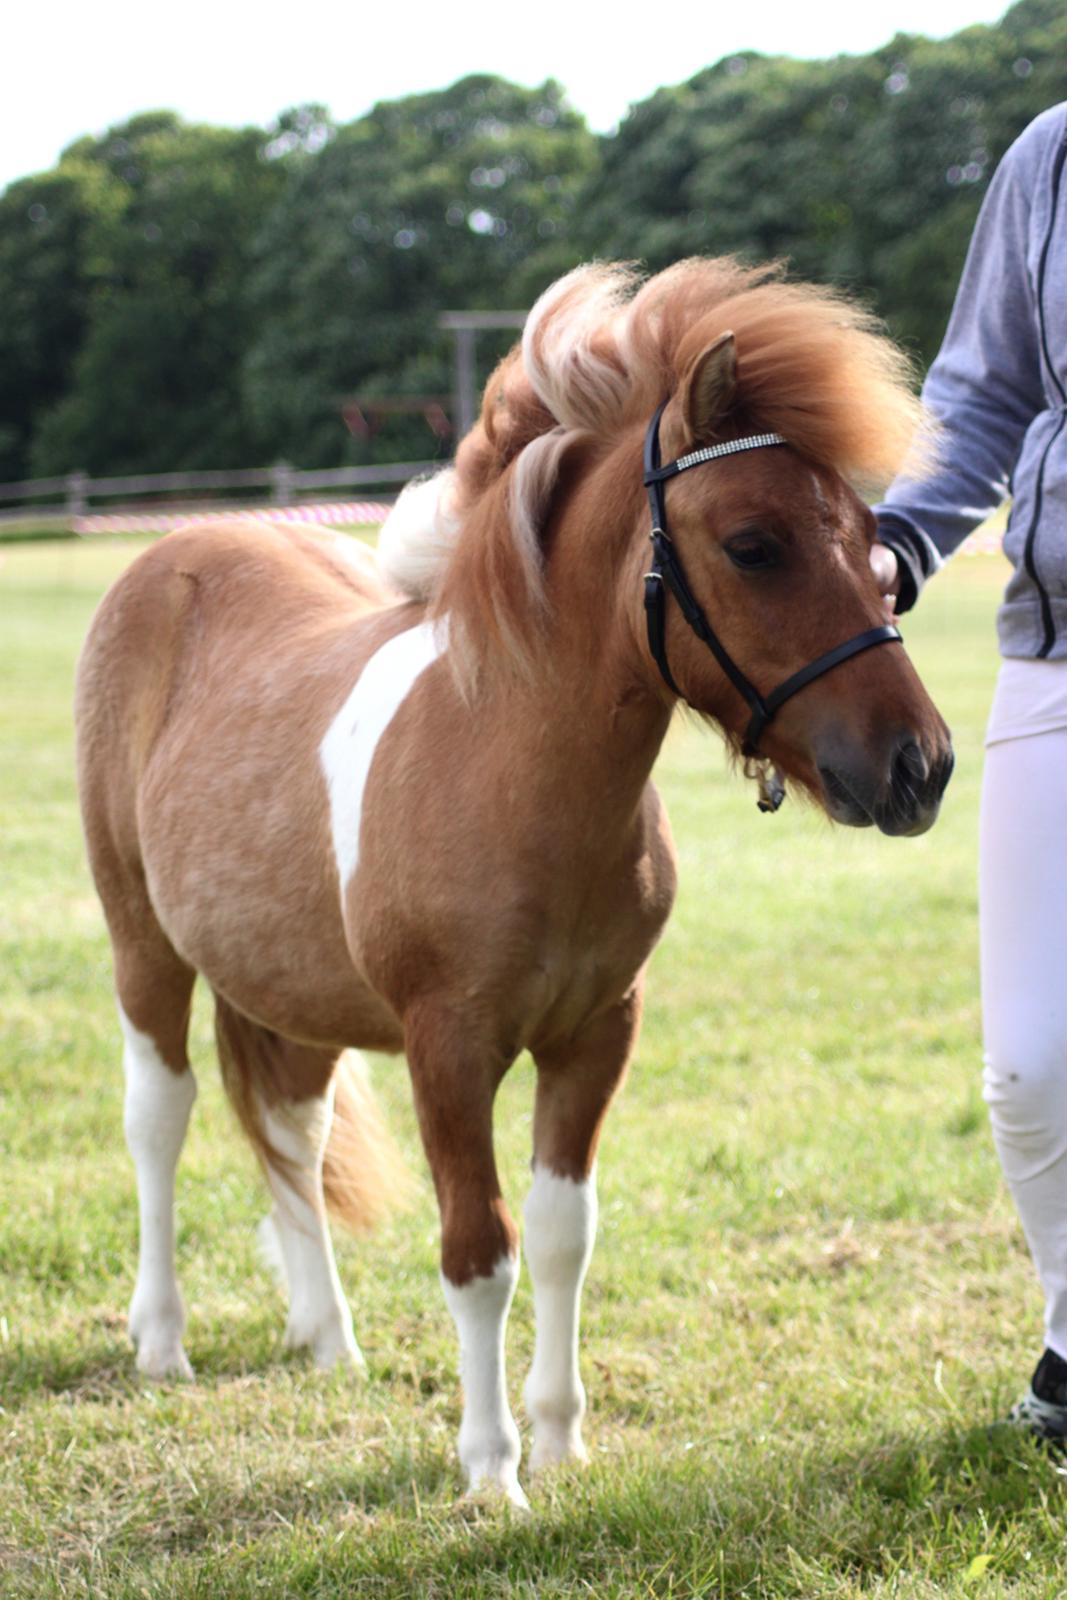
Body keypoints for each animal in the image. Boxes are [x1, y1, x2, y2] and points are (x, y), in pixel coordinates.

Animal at [79, 259, 953, 1497]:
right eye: (751, 543)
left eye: (875, 541)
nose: (917, 764)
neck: (508, 769)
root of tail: (178, 551)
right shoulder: (448, 1050)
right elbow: (476, 1246)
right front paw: (491, 1467)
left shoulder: (594, 1032)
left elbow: (558, 1233)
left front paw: (557, 1433)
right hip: (142, 945)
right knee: (159, 1118)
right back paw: (162, 1339)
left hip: (291, 986)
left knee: (292, 1129)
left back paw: (326, 1336)